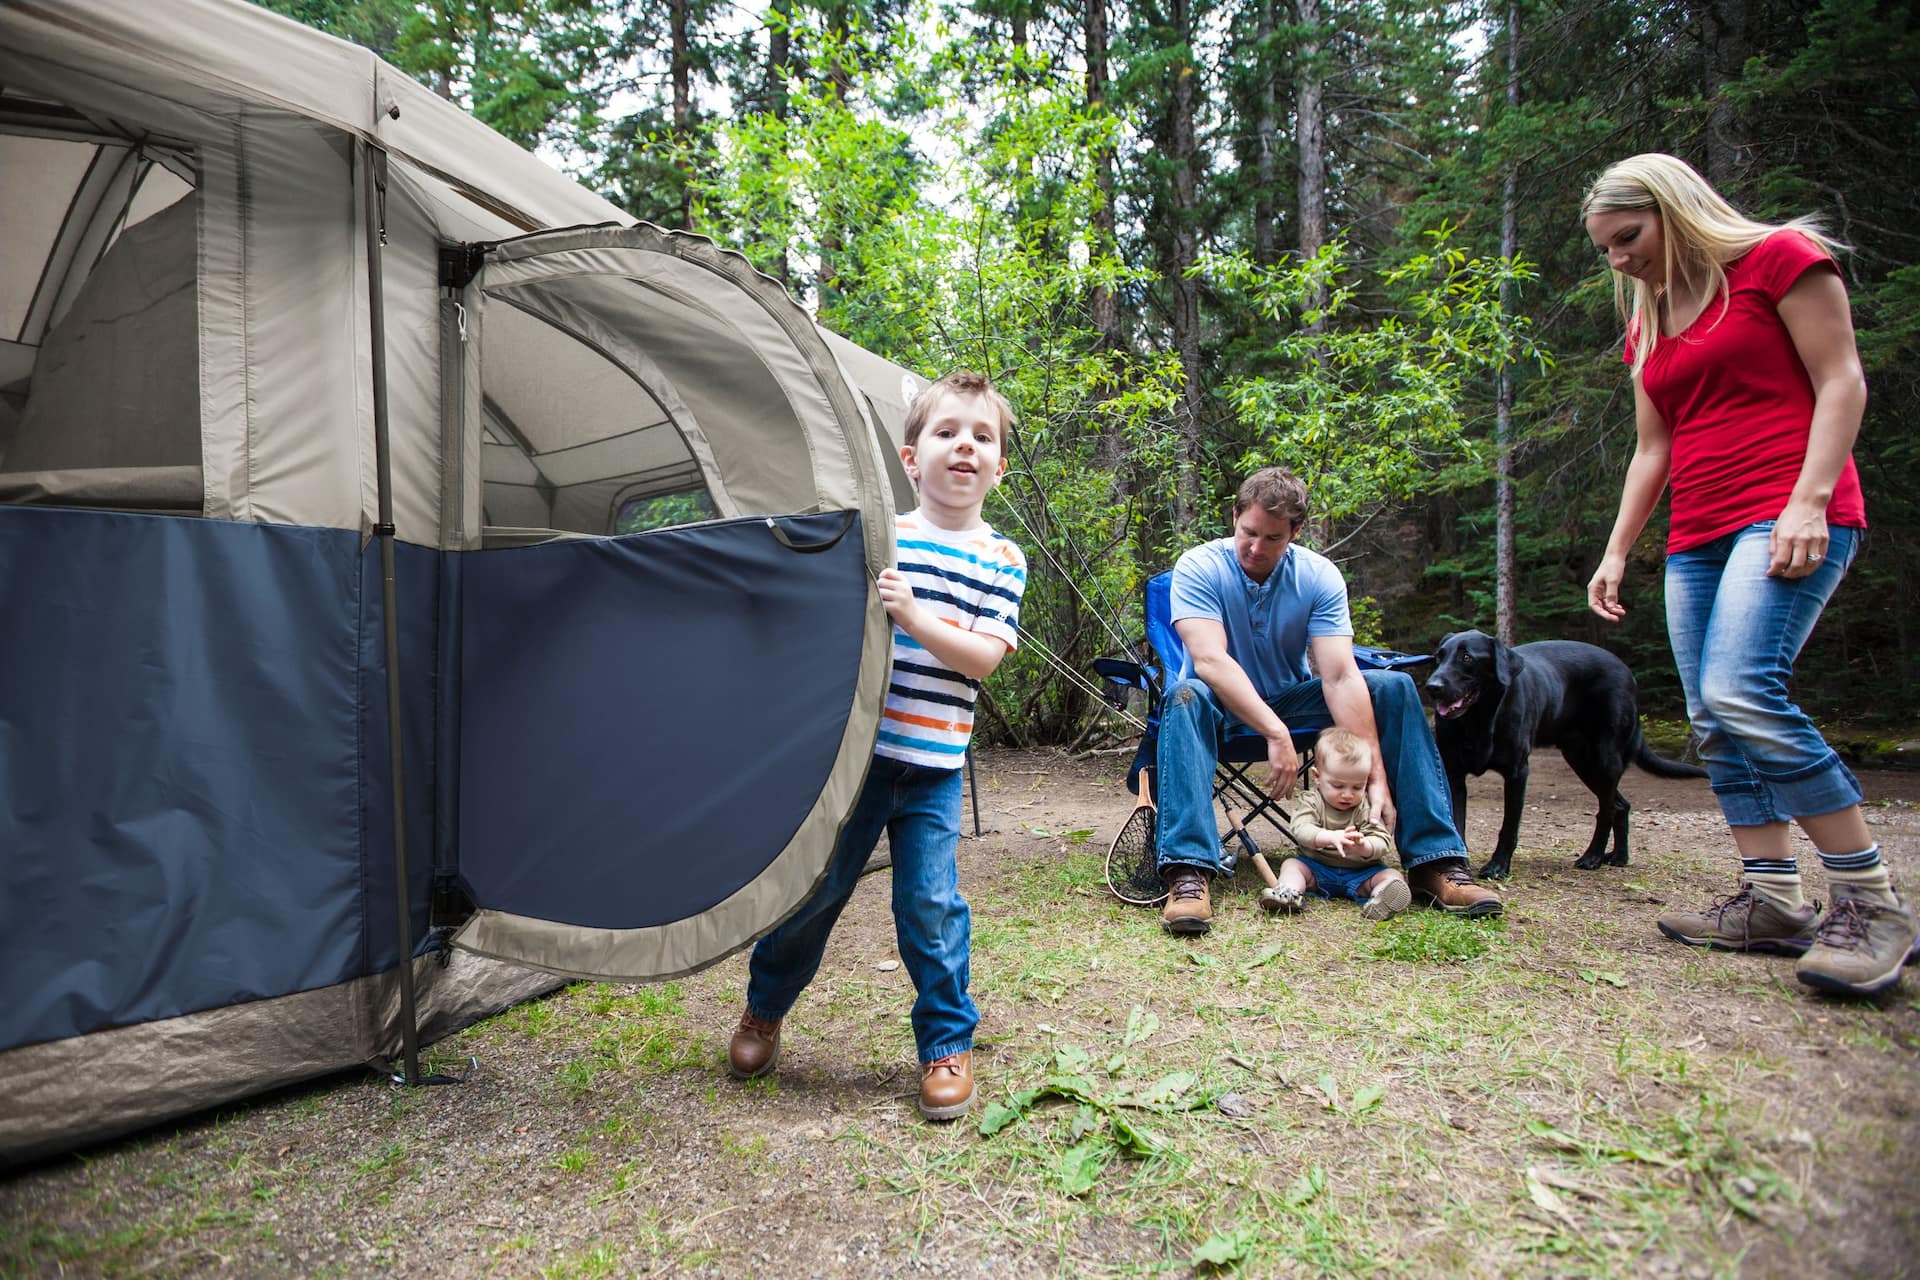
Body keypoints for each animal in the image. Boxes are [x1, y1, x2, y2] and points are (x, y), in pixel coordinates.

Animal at [1420, 629, 1704, 882]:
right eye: (1438, 657)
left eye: (1467, 657)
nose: (1432, 687)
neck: (1478, 719)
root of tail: (1627, 672)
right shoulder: (1454, 773)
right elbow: (1457, 822)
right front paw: (1457, 864)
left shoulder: (1517, 772)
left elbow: (1509, 825)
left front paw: (1498, 866)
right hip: (1580, 759)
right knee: (1621, 805)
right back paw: (1619, 857)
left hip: (1605, 759)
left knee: (1608, 809)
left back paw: (1593, 857)